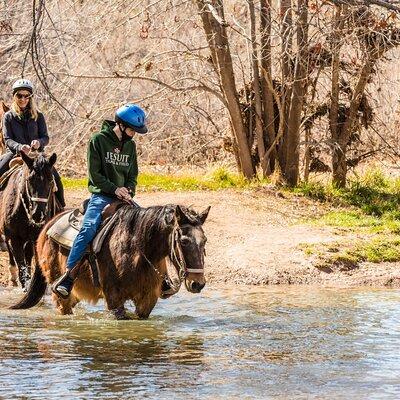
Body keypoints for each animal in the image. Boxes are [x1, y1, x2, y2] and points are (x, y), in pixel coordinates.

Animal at [0, 152, 61, 288]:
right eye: (29, 180)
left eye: (51, 181)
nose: (38, 215)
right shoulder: (14, 238)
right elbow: (21, 265)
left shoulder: (35, 237)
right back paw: (12, 275)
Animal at [10, 203, 211, 318]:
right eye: (183, 241)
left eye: (205, 240)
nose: (197, 283)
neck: (137, 250)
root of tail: (47, 226)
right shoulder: (114, 300)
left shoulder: (147, 301)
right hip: (59, 292)